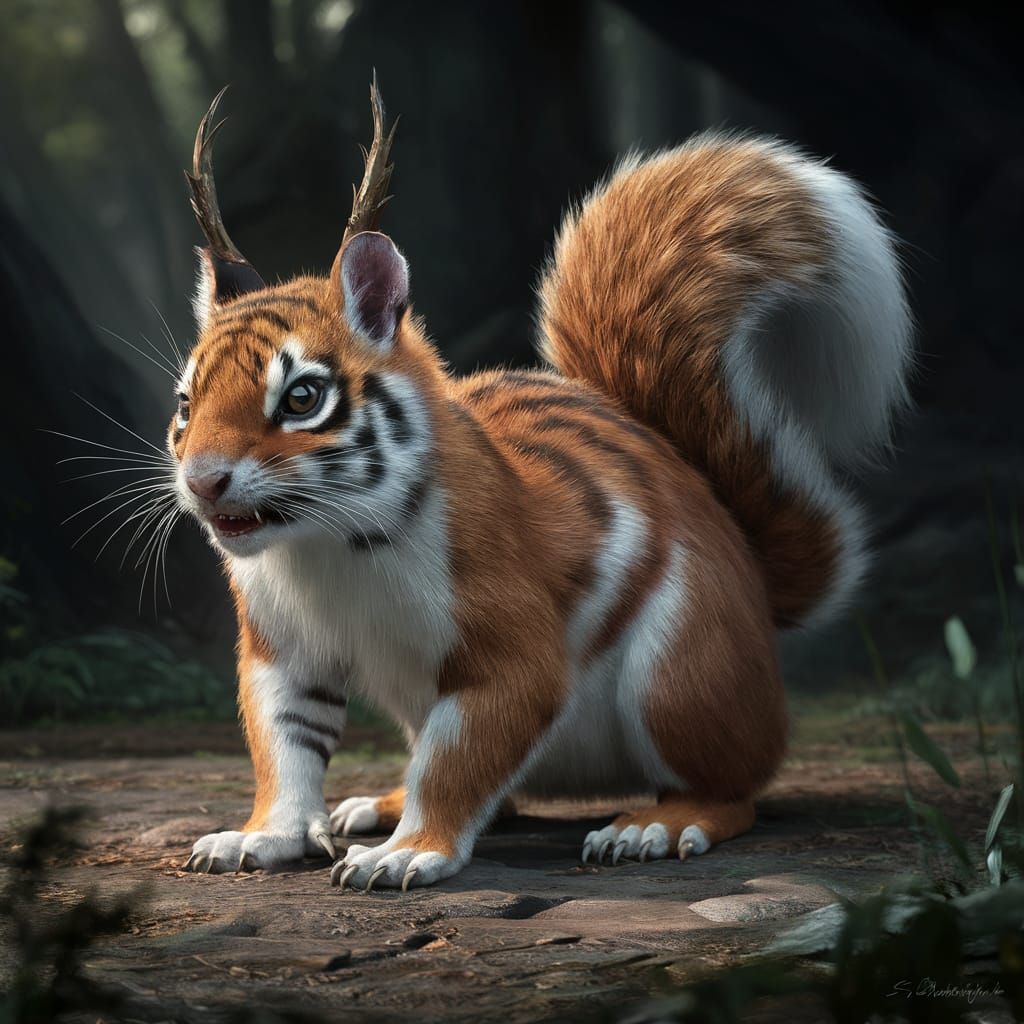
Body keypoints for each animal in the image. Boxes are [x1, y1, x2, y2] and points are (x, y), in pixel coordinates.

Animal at [174, 85, 911, 889]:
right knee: (499, 788)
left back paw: (655, 824)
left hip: (680, 674)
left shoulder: (511, 646)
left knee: (733, 788)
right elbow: (286, 747)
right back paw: (378, 802)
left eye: (303, 397)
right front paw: (260, 839)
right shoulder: (279, 650)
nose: (203, 481)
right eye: (186, 402)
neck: (321, 545)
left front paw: (410, 853)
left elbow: (459, 760)